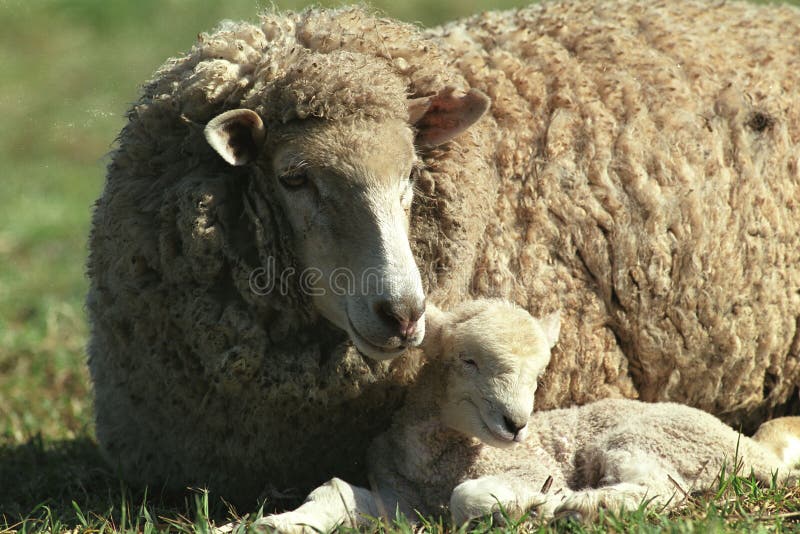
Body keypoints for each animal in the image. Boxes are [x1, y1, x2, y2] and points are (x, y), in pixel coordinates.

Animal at [259, 301, 800, 532]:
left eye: (540, 376)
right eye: (467, 361)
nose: (516, 424)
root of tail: (753, 447)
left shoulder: (527, 468)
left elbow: (466, 496)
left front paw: (533, 505)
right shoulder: (403, 501)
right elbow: (334, 491)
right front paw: (281, 523)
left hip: (643, 437)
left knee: (661, 492)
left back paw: (578, 506)